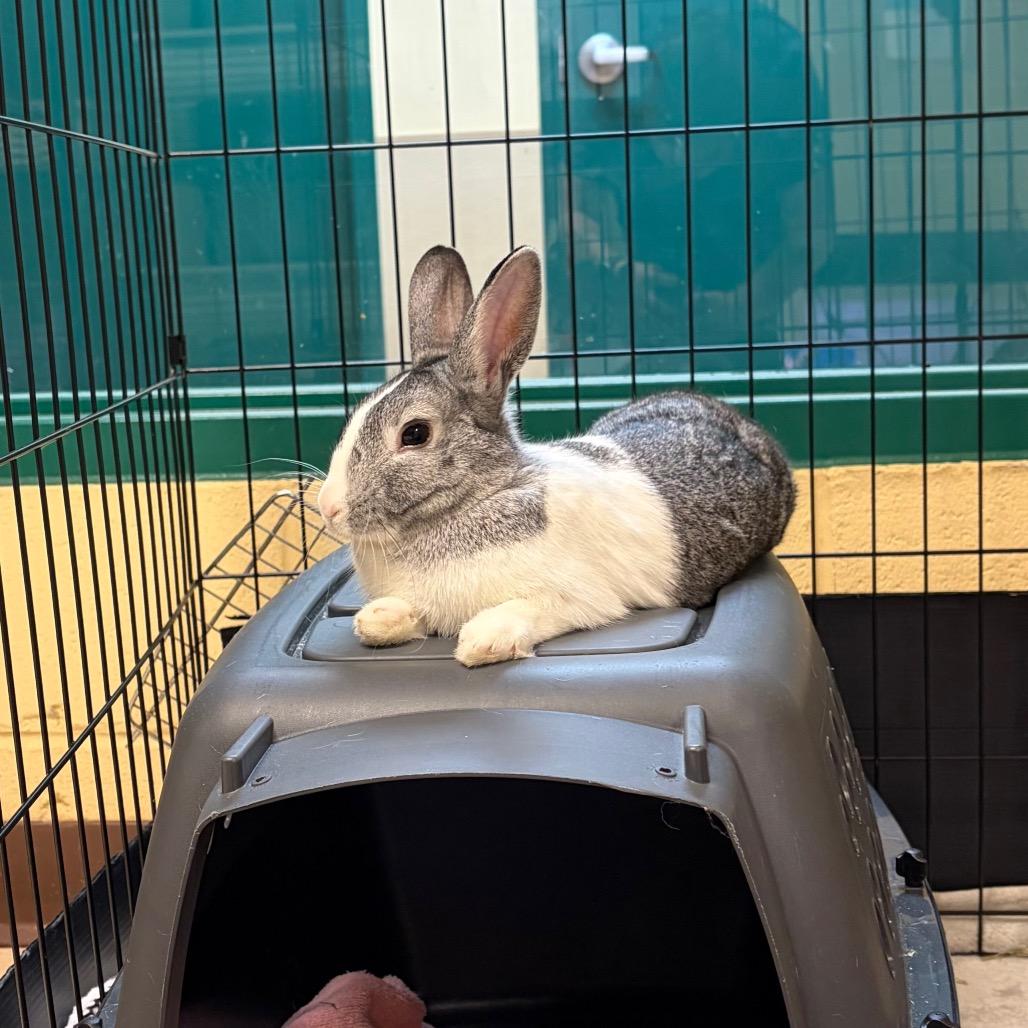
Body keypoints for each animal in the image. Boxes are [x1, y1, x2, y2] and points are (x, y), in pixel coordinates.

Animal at [317, 244, 795, 668]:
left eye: (415, 434)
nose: (327, 507)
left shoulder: (578, 596)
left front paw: (483, 641)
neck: (480, 498)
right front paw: (376, 619)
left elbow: (532, 608)